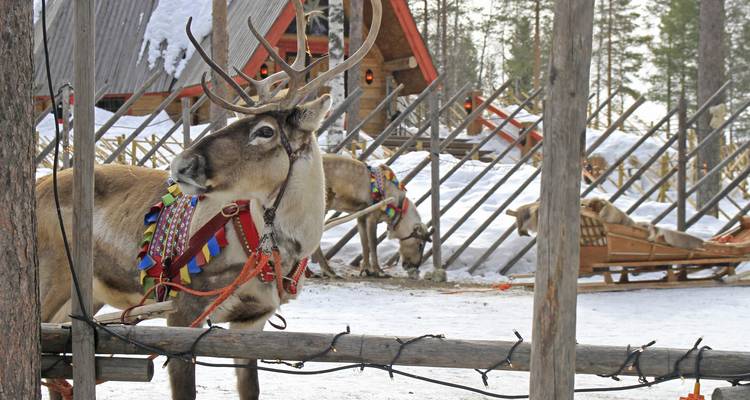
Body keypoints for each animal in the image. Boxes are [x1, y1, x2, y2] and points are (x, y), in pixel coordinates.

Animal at [36, 1, 382, 399]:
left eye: (265, 131)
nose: (181, 163)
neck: (276, 251)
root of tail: (38, 184)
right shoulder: (182, 312)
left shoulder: (252, 319)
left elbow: (250, 388)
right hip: (53, 278)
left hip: (89, 293)